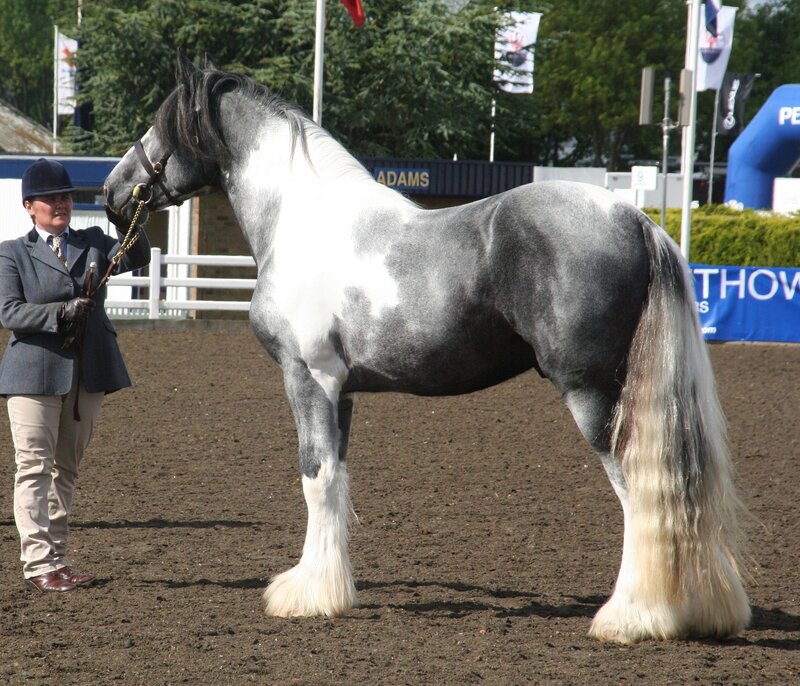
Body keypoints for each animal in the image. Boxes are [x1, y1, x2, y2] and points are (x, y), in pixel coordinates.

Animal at [103, 56, 750, 644]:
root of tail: (636, 219)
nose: (113, 192)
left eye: (160, 123)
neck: (302, 219)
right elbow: (336, 479)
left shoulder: (307, 377)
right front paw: (330, 590)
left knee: (642, 492)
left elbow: (314, 478)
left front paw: (305, 597)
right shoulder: (341, 391)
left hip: (593, 394)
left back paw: (631, 618)